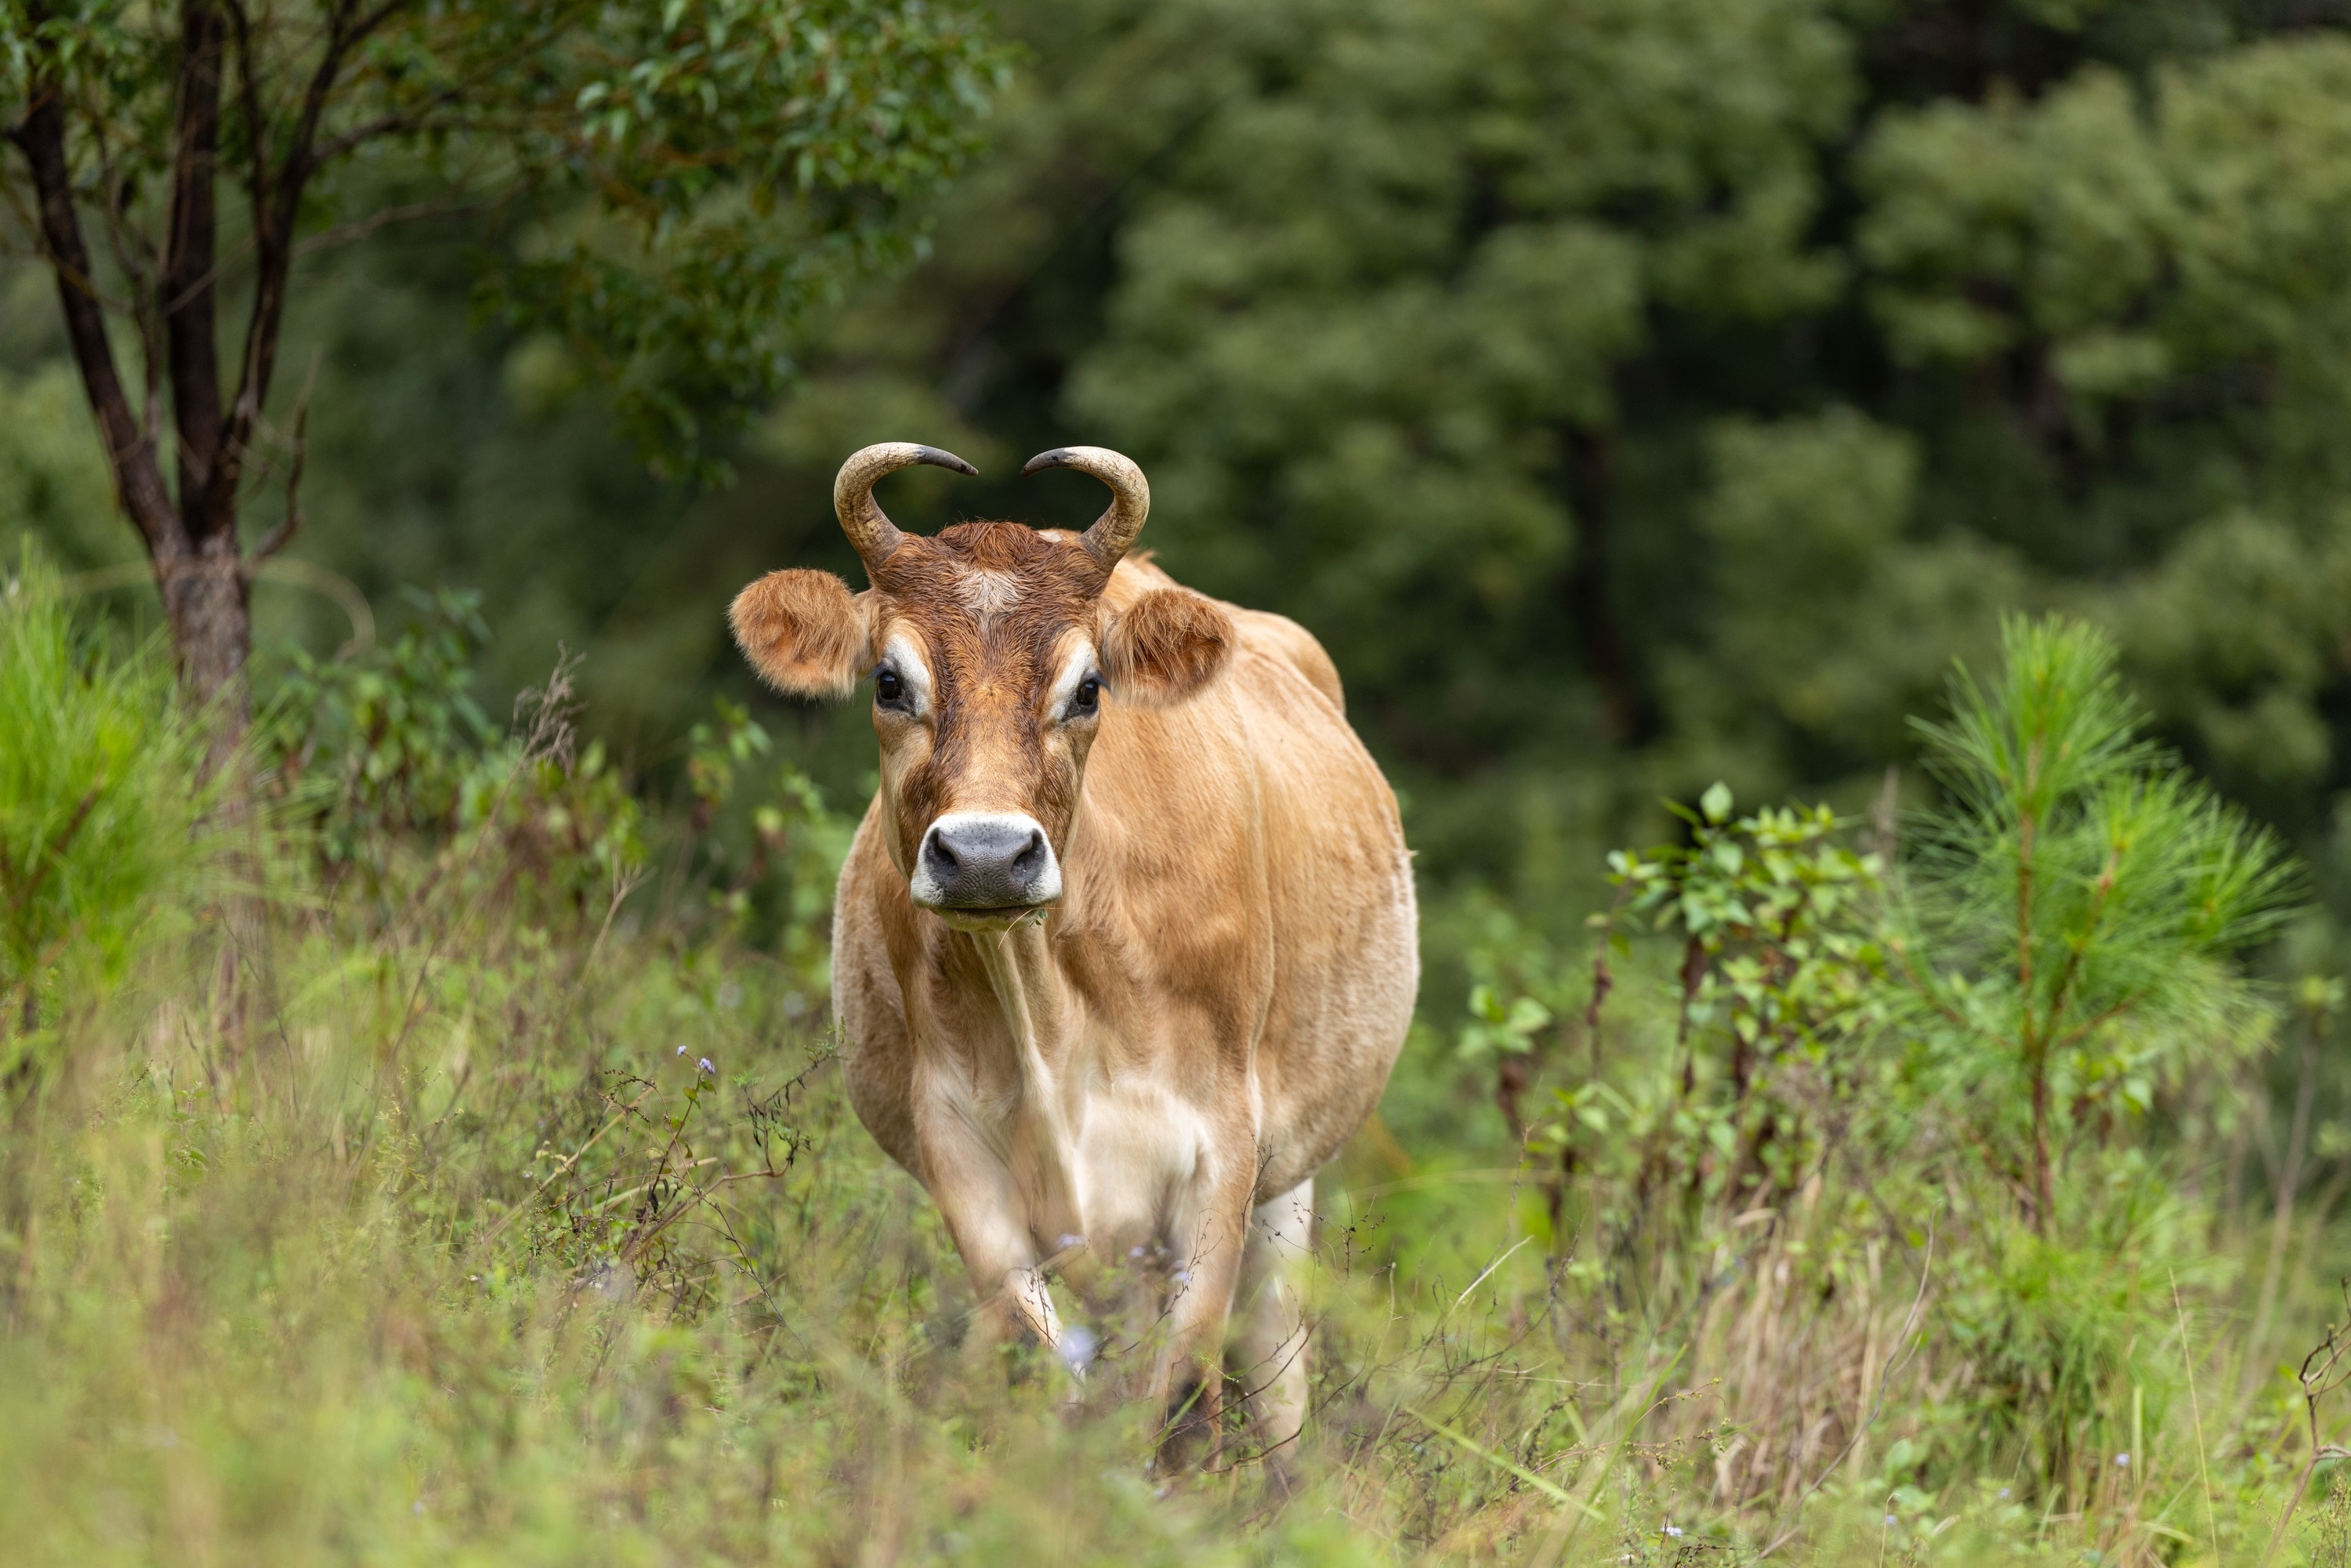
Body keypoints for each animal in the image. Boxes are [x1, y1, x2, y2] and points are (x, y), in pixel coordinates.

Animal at [728, 442, 1417, 1457]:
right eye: (889, 682)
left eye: (1089, 688)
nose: (984, 854)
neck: (1051, 1005)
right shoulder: (956, 1143)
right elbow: (1047, 1361)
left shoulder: (1224, 1139)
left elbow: (1184, 1397)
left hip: (1290, 1174)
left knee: (1276, 1362)